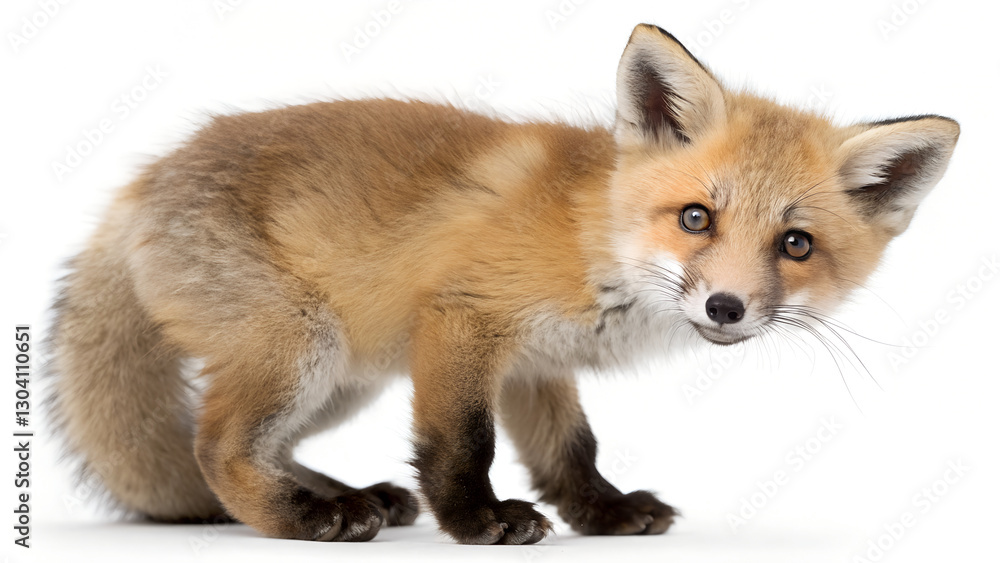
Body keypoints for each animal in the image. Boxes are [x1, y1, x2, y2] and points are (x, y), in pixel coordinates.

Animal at [47, 23, 959, 545]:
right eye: (697, 218)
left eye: (795, 243)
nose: (726, 306)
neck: (594, 240)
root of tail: (138, 185)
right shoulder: (463, 324)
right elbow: (464, 444)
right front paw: (479, 520)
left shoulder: (536, 364)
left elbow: (570, 449)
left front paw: (601, 513)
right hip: (303, 345)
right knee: (217, 448)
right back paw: (306, 517)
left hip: (345, 374)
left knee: (260, 446)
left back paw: (352, 494)